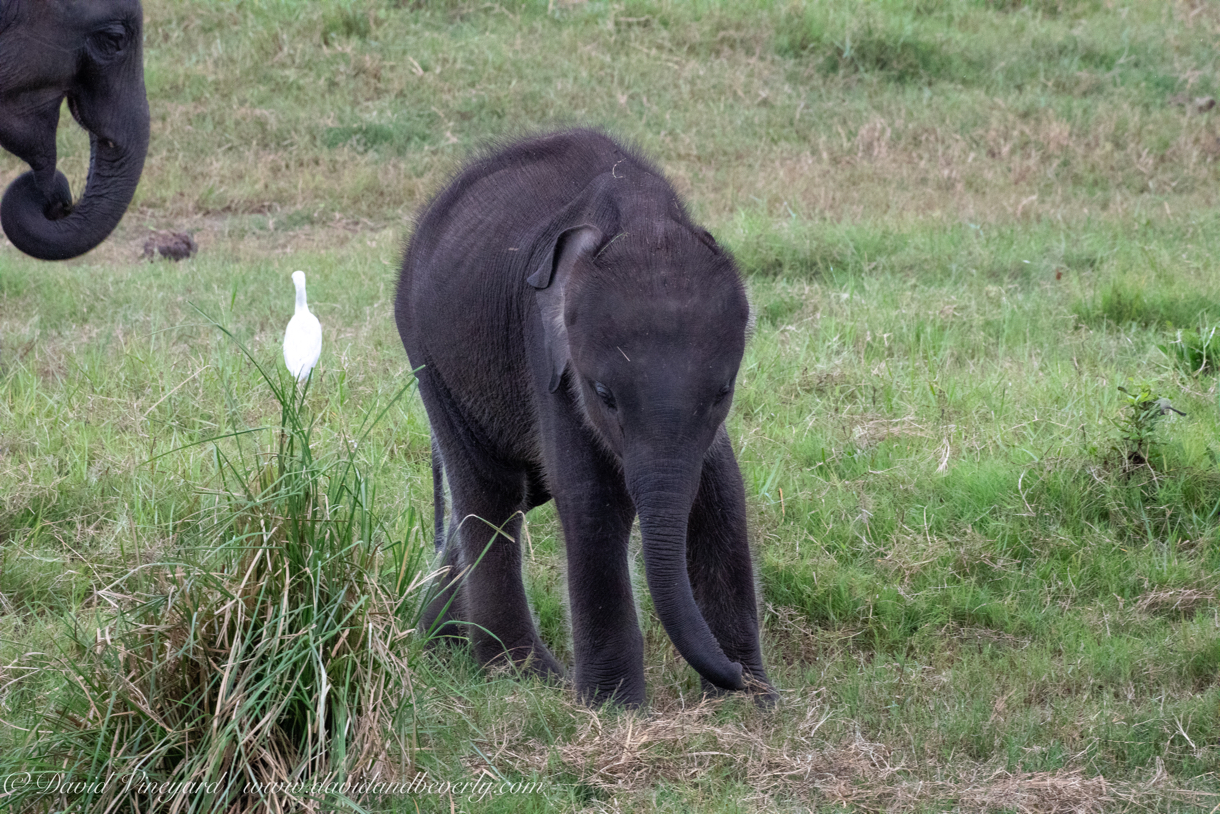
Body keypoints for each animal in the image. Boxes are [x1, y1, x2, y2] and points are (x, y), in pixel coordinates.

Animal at [395, 127, 775, 707]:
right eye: (604, 394)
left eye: (723, 392)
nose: (730, 671)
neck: (640, 215)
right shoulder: (546, 349)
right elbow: (594, 497)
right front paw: (617, 709)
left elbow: (721, 492)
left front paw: (754, 702)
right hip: (428, 354)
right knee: (490, 493)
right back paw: (521, 673)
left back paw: (442, 644)